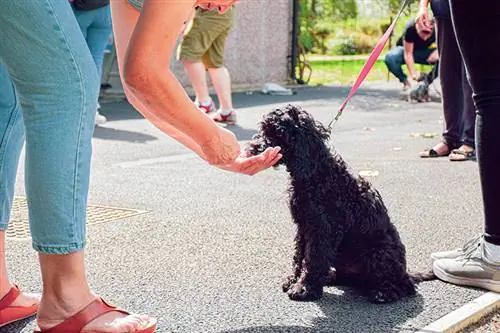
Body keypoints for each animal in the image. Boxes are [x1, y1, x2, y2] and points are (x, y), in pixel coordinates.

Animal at [248, 105, 436, 302]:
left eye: (278, 133)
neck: (316, 172)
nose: (253, 147)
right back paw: (330, 277)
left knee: (406, 286)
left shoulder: (324, 228)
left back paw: (384, 292)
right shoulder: (304, 225)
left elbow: (313, 258)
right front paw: (294, 280)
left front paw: (304, 288)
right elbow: (299, 255)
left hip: (378, 252)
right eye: (263, 129)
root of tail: (405, 273)